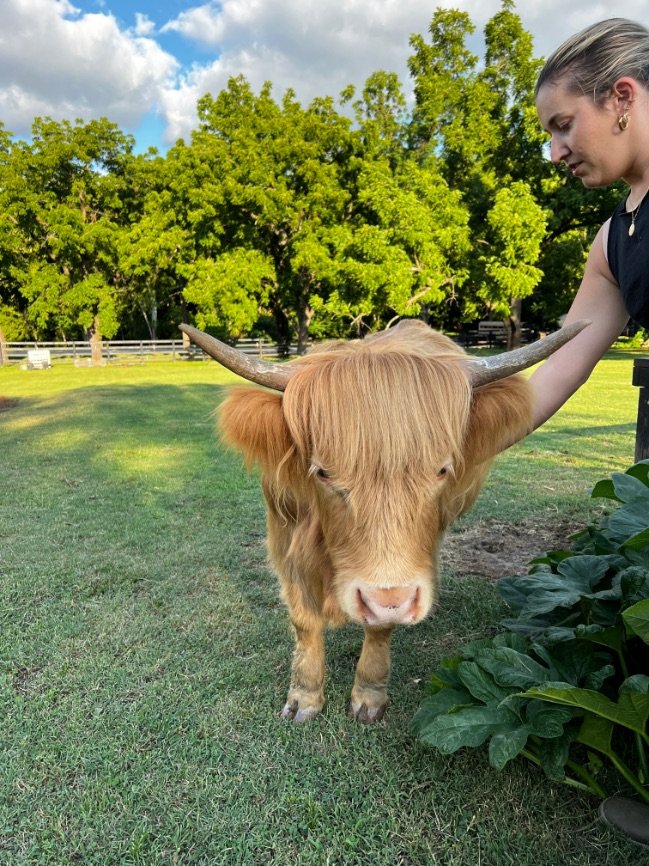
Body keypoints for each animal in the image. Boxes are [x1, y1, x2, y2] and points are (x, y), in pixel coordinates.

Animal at [180, 318, 584, 724]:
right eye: (323, 472)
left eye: (442, 469)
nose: (387, 599)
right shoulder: (284, 539)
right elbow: (304, 621)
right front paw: (304, 697)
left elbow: (382, 624)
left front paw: (369, 695)